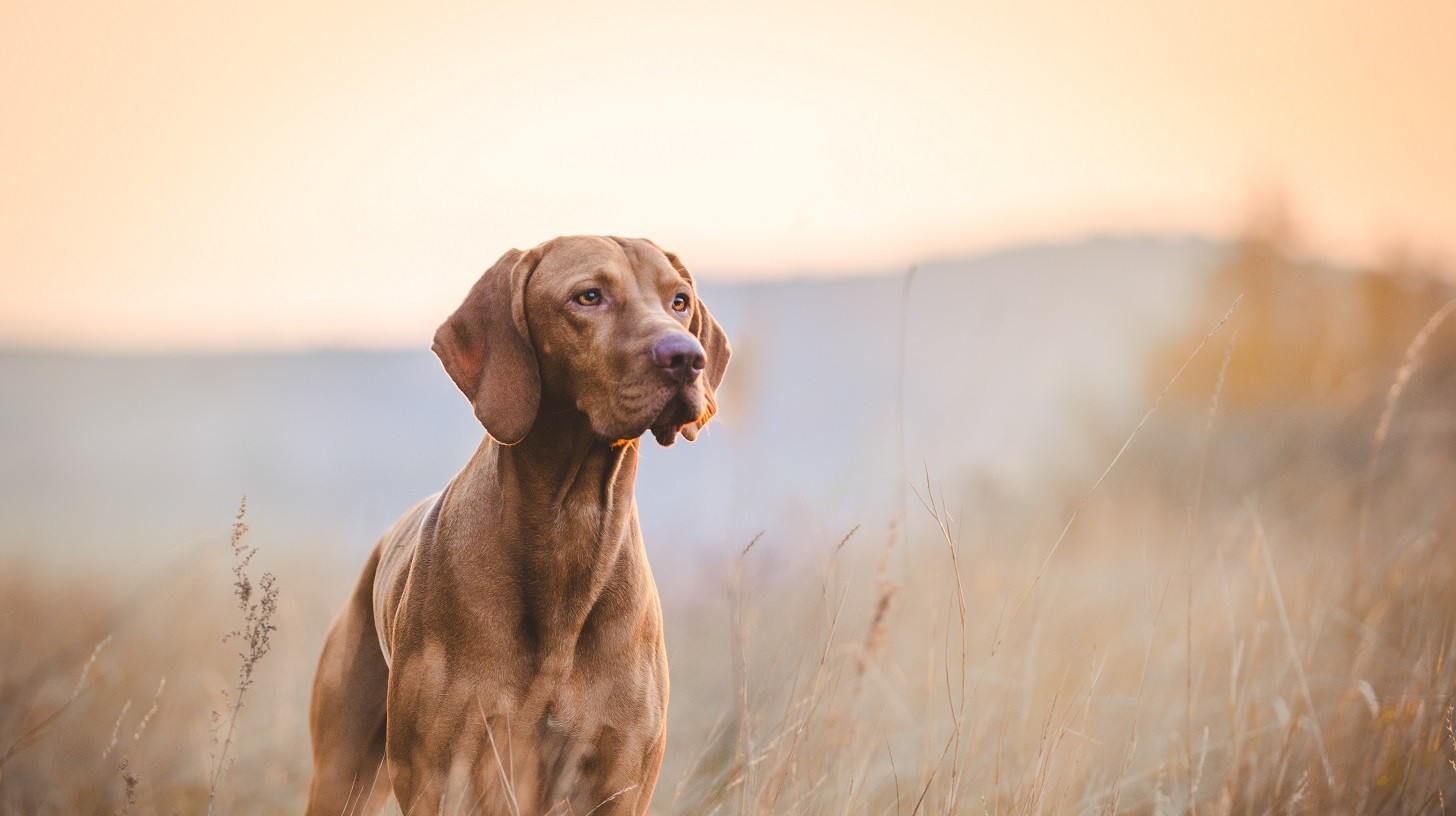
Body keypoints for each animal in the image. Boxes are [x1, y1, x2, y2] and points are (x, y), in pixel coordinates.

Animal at [308, 236, 733, 816]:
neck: (569, 527)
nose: (687, 357)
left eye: (680, 301)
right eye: (589, 296)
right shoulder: (441, 775)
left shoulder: (619, 779)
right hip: (342, 774)